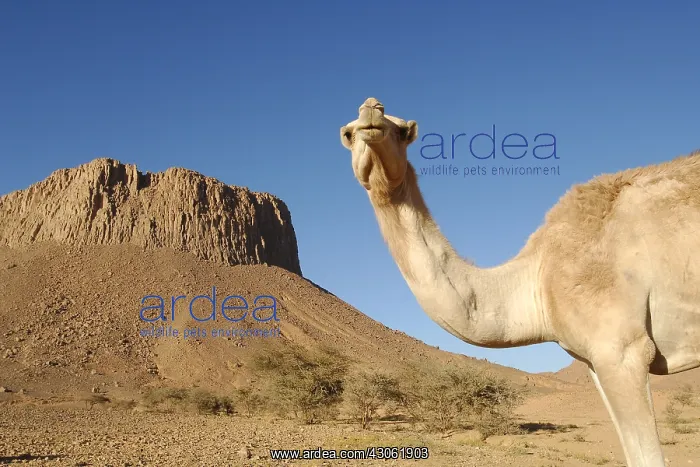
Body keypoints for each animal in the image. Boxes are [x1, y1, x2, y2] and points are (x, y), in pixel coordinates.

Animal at [339, 97, 700, 467]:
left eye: (402, 131)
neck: (537, 279)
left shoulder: (622, 349)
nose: (371, 110)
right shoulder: (596, 361)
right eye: (349, 134)